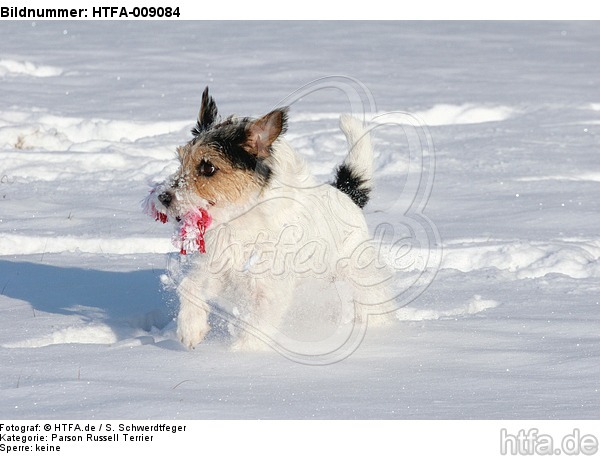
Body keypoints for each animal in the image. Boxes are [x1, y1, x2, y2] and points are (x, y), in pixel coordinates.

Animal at [144, 89, 392, 352]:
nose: (163, 197)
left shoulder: (269, 289)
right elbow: (189, 285)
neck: (239, 218)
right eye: (181, 161)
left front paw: (241, 353)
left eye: (208, 167)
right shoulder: (215, 266)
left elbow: (256, 325)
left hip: (359, 272)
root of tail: (346, 194)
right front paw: (191, 329)